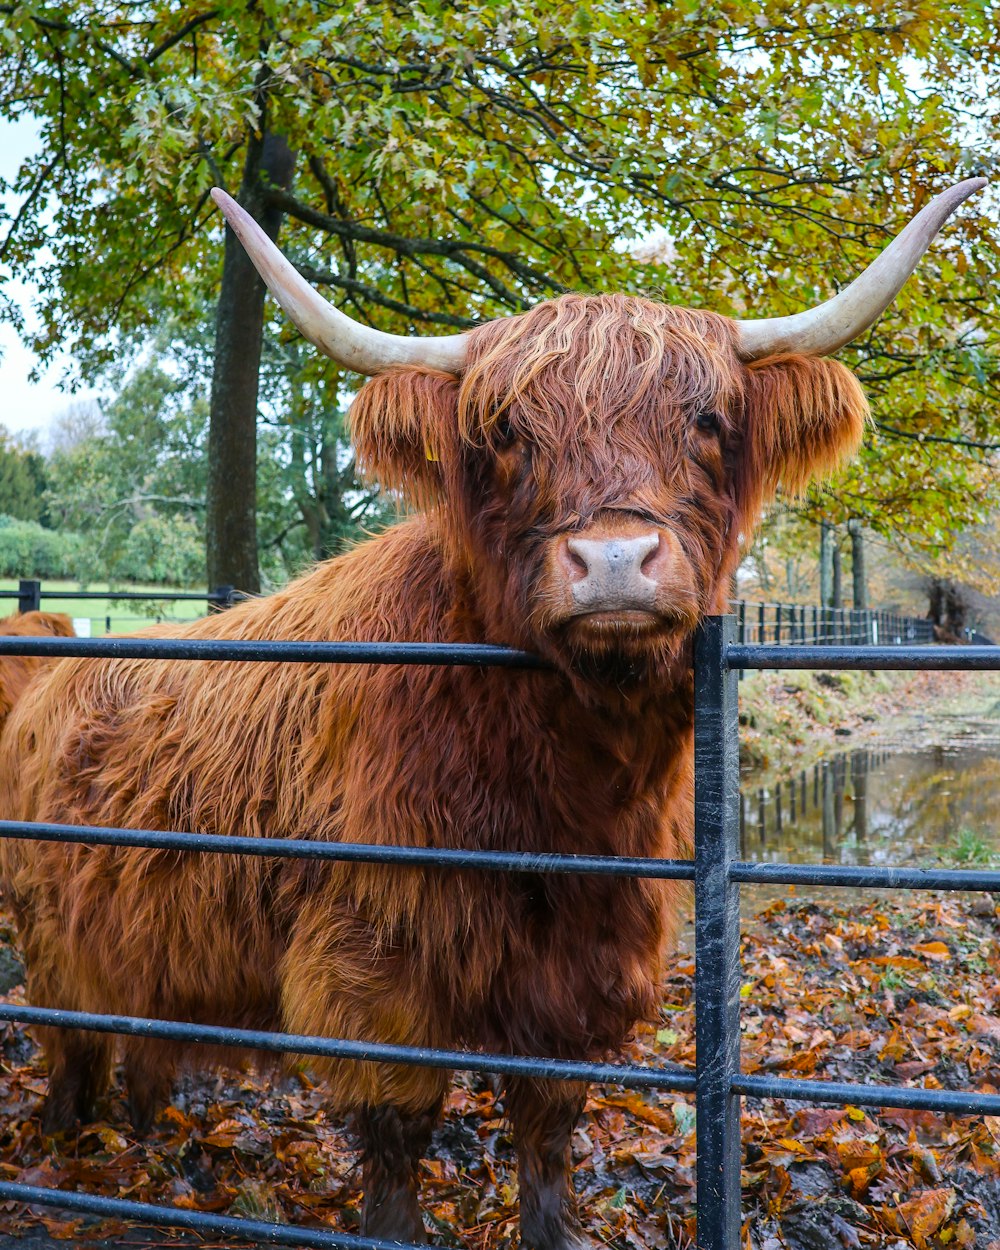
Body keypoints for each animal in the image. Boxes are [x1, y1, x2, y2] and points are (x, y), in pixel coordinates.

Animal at [0, 178, 985, 1250]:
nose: (613, 561)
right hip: (51, 943)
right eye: (507, 432)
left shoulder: (589, 964)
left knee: (140, 1043)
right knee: (71, 1049)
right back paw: (67, 1151)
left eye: (709, 420)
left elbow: (548, 1128)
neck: (560, 797)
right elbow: (398, 1134)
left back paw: (144, 1138)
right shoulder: (373, 969)